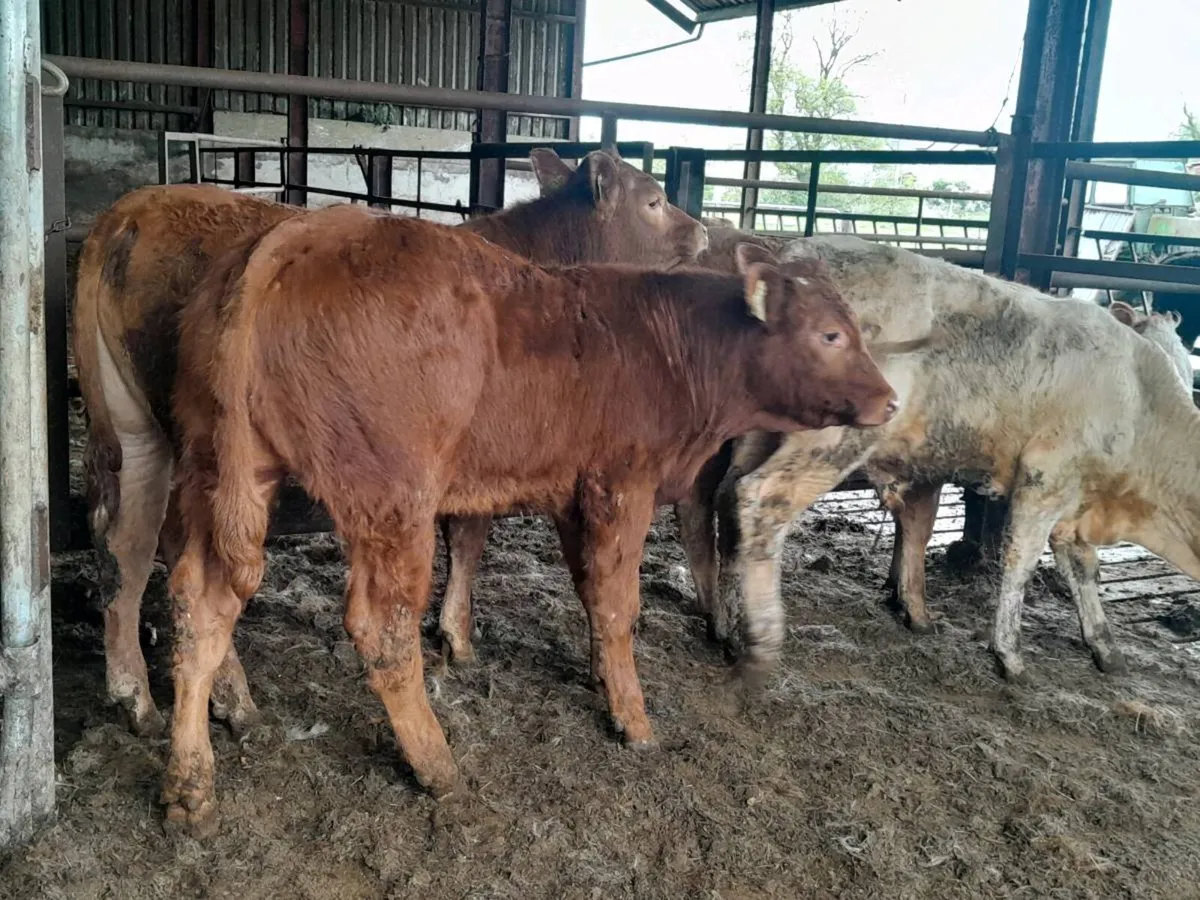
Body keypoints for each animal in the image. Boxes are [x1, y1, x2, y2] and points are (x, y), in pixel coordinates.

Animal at [73, 147, 707, 739]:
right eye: (654, 200)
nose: (702, 232)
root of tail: (130, 213)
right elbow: (473, 538)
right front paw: (458, 637)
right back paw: (231, 697)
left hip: (133, 430)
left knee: (125, 540)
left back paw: (134, 693)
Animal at [160, 210, 896, 836]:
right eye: (830, 334)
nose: (890, 401)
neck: (669, 345)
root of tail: (302, 232)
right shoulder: (622, 485)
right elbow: (619, 603)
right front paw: (633, 720)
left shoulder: (575, 494)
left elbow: (591, 593)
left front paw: (601, 677)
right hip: (392, 499)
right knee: (382, 629)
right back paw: (436, 764)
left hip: (220, 473)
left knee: (201, 603)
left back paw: (191, 782)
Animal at [688, 234, 1200, 689]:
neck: (1140, 399)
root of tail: (794, 257)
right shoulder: (1044, 482)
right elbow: (1020, 563)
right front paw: (1009, 656)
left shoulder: (1076, 507)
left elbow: (1085, 571)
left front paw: (1106, 649)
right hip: (835, 437)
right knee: (761, 499)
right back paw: (761, 640)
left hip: (759, 433)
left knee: (728, 497)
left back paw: (727, 625)